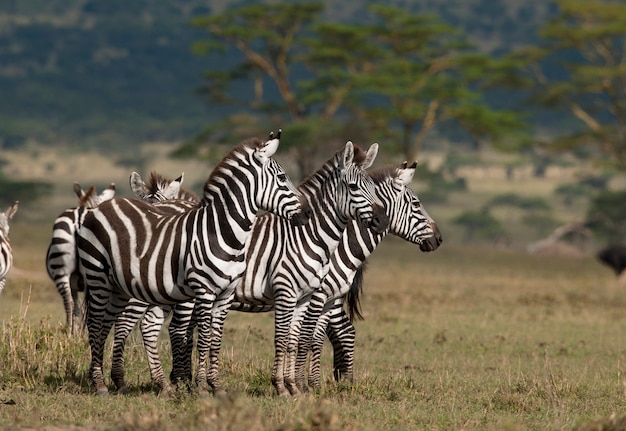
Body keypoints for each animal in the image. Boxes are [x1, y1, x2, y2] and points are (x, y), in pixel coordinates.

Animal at [44, 182, 115, 334]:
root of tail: (80, 217)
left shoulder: (74, 284)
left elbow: (77, 309)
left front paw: (75, 332)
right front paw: (77, 333)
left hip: (63, 269)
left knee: (70, 302)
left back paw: (69, 332)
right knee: (83, 306)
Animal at [77, 132, 308, 398]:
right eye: (282, 178)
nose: (307, 214)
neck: (222, 232)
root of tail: (102, 206)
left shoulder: (226, 294)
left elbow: (216, 340)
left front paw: (215, 386)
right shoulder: (204, 291)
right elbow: (203, 338)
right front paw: (200, 387)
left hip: (118, 286)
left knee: (108, 324)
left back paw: (119, 382)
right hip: (97, 277)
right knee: (95, 324)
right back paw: (100, 384)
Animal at [166, 141, 390, 398]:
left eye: (372, 187)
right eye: (353, 187)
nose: (383, 220)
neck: (308, 236)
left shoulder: (305, 296)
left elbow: (295, 341)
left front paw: (295, 387)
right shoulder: (287, 292)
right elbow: (283, 339)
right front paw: (282, 386)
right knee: (178, 330)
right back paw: (181, 382)